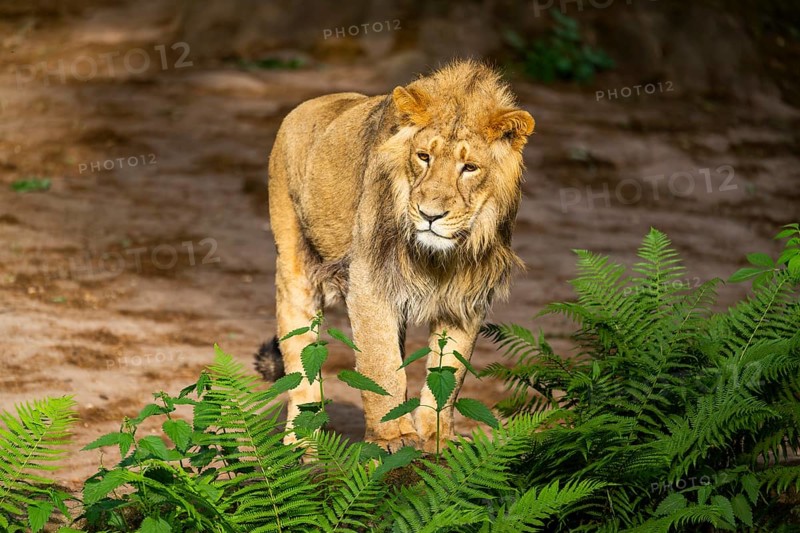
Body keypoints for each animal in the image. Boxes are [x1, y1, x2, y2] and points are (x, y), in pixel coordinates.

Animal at [261, 59, 535, 452]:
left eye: (469, 167)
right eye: (424, 157)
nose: (430, 215)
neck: (439, 256)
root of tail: (306, 105)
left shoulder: (466, 294)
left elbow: (450, 370)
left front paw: (437, 436)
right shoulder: (369, 283)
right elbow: (380, 365)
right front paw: (394, 438)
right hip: (294, 266)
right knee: (300, 360)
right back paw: (303, 446)